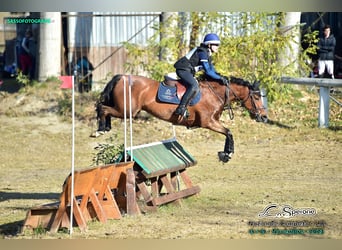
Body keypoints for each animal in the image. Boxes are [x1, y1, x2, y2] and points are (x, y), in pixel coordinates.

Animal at [95, 73, 268, 162]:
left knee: (103, 106)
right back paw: (100, 130)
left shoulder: (213, 122)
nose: (264, 118)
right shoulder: (209, 122)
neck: (215, 93)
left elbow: (228, 133)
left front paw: (225, 154)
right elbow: (228, 132)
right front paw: (227, 154)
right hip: (127, 111)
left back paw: (104, 128)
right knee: (103, 107)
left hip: (125, 110)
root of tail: (122, 77)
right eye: (257, 97)